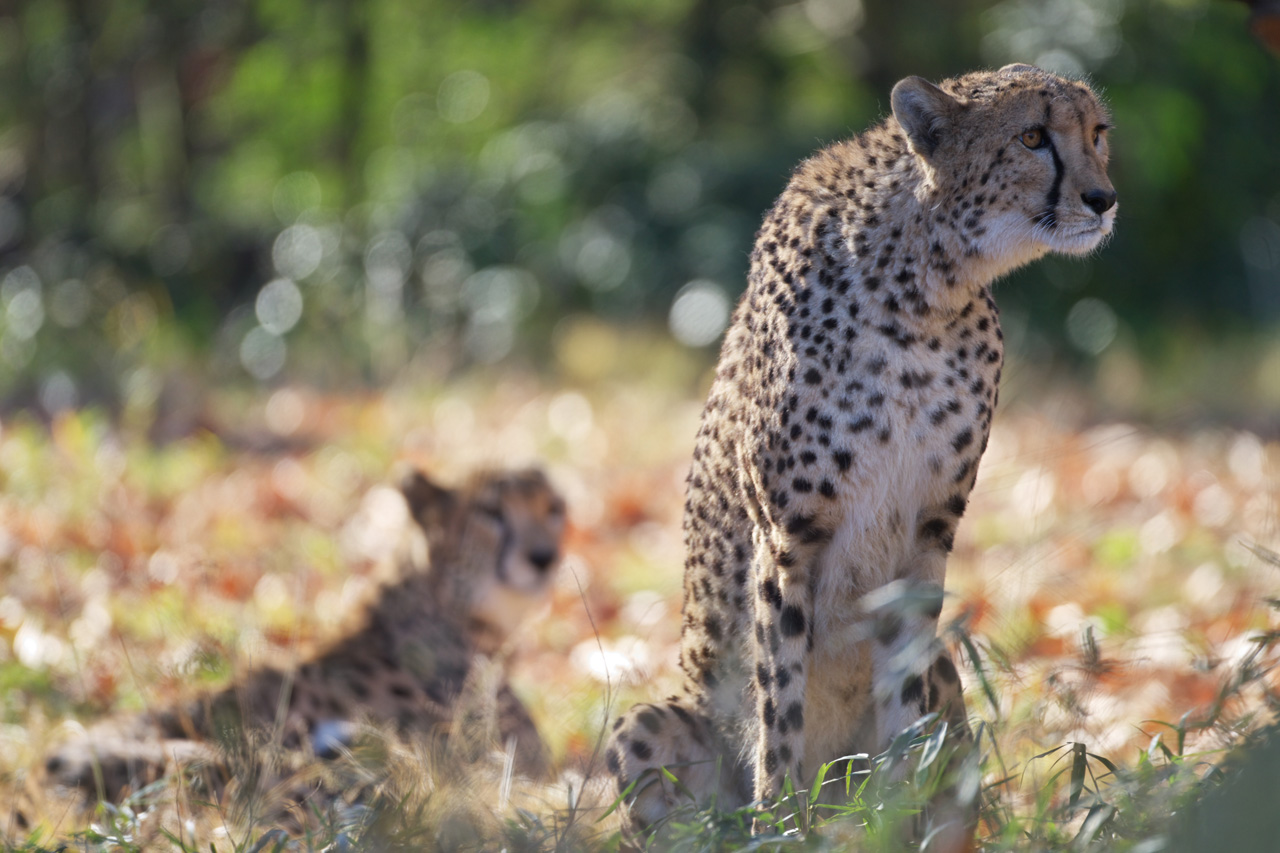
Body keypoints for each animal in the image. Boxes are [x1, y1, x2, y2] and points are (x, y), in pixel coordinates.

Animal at [604, 64, 1116, 835]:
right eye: (1032, 137)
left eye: (1097, 133)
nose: (1103, 198)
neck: (927, 286)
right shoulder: (788, 535)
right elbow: (779, 704)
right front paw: (783, 825)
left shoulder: (929, 528)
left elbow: (906, 710)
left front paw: (893, 819)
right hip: (646, 725)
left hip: (950, 681)